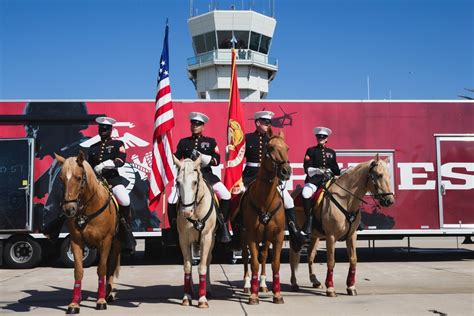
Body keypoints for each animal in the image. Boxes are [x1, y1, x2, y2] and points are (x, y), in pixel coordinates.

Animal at [56, 152, 122, 312]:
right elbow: (78, 271)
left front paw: (101, 300)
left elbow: (102, 269)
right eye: (61, 179)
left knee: (111, 266)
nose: (69, 209)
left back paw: (108, 293)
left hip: (115, 244)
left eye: (79, 178)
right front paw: (74, 303)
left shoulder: (105, 241)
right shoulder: (76, 241)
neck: (88, 209)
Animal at [173, 156, 218, 308]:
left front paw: (202, 299)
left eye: (195, 182)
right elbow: (187, 266)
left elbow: (202, 266)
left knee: (208, 260)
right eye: (178, 182)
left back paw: (208, 289)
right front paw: (187, 296)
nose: (186, 212)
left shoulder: (206, 238)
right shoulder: (183, 239)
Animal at [237, 130, 292, 304]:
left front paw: (277, 294)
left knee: (263, 256)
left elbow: (275, 264)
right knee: (246, 257)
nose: (286, 171)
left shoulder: (278, 236)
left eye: (287, 148)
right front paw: (253, 296)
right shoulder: (251, 236)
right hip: (243, 235)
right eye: (271, 148)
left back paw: (262, 284)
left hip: (266, 238)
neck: (265, 201)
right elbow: (253, 263)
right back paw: (247, 285)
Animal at [290, 154, 394, 298]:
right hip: (296, 234)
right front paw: (330, 288)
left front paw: (351, 286)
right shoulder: (331, 236)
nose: (390, 200)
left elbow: (353, 259)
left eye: (388, 176)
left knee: (310, 255)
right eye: (379, 175)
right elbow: (331, 261)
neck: (346, 200)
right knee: (294, 255)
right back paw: (294, 283)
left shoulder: (352, 235)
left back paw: (315, 280)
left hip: (315, 236)